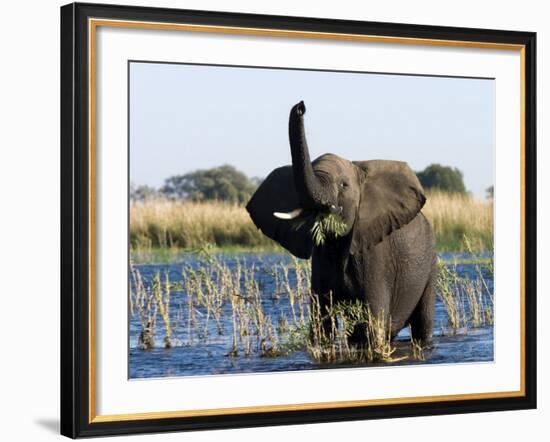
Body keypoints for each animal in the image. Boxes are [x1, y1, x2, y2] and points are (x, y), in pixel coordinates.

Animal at [248, 101, 438, 346]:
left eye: (343, 185)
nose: (301, 106)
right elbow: (321, 325)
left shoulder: (376, 257)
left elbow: (372, 323)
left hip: (430, 265)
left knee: (422, 323)